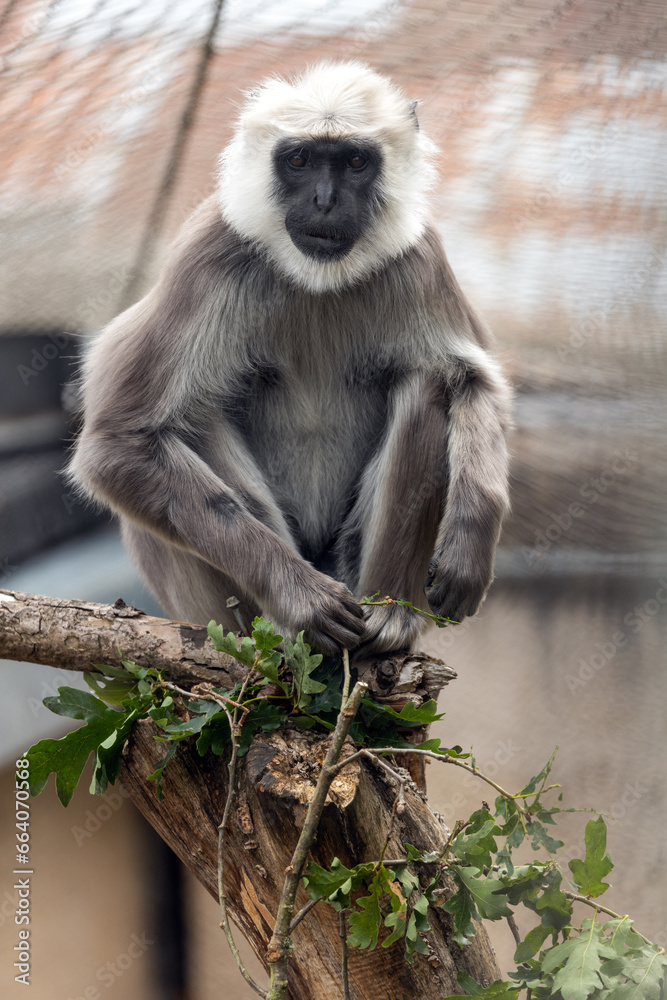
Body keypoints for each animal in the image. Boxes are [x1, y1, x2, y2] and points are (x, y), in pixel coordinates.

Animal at [69, 61, 512, 658]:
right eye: (299, 160)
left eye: (354, 162)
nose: (324, 201)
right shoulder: (210, 254)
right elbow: (117, 443)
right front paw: (300, 600)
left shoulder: (419, 257)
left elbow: (473, 380)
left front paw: (470, 540)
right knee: (193, 415)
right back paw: (286, 627)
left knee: (428, 384)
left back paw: (391, 615)